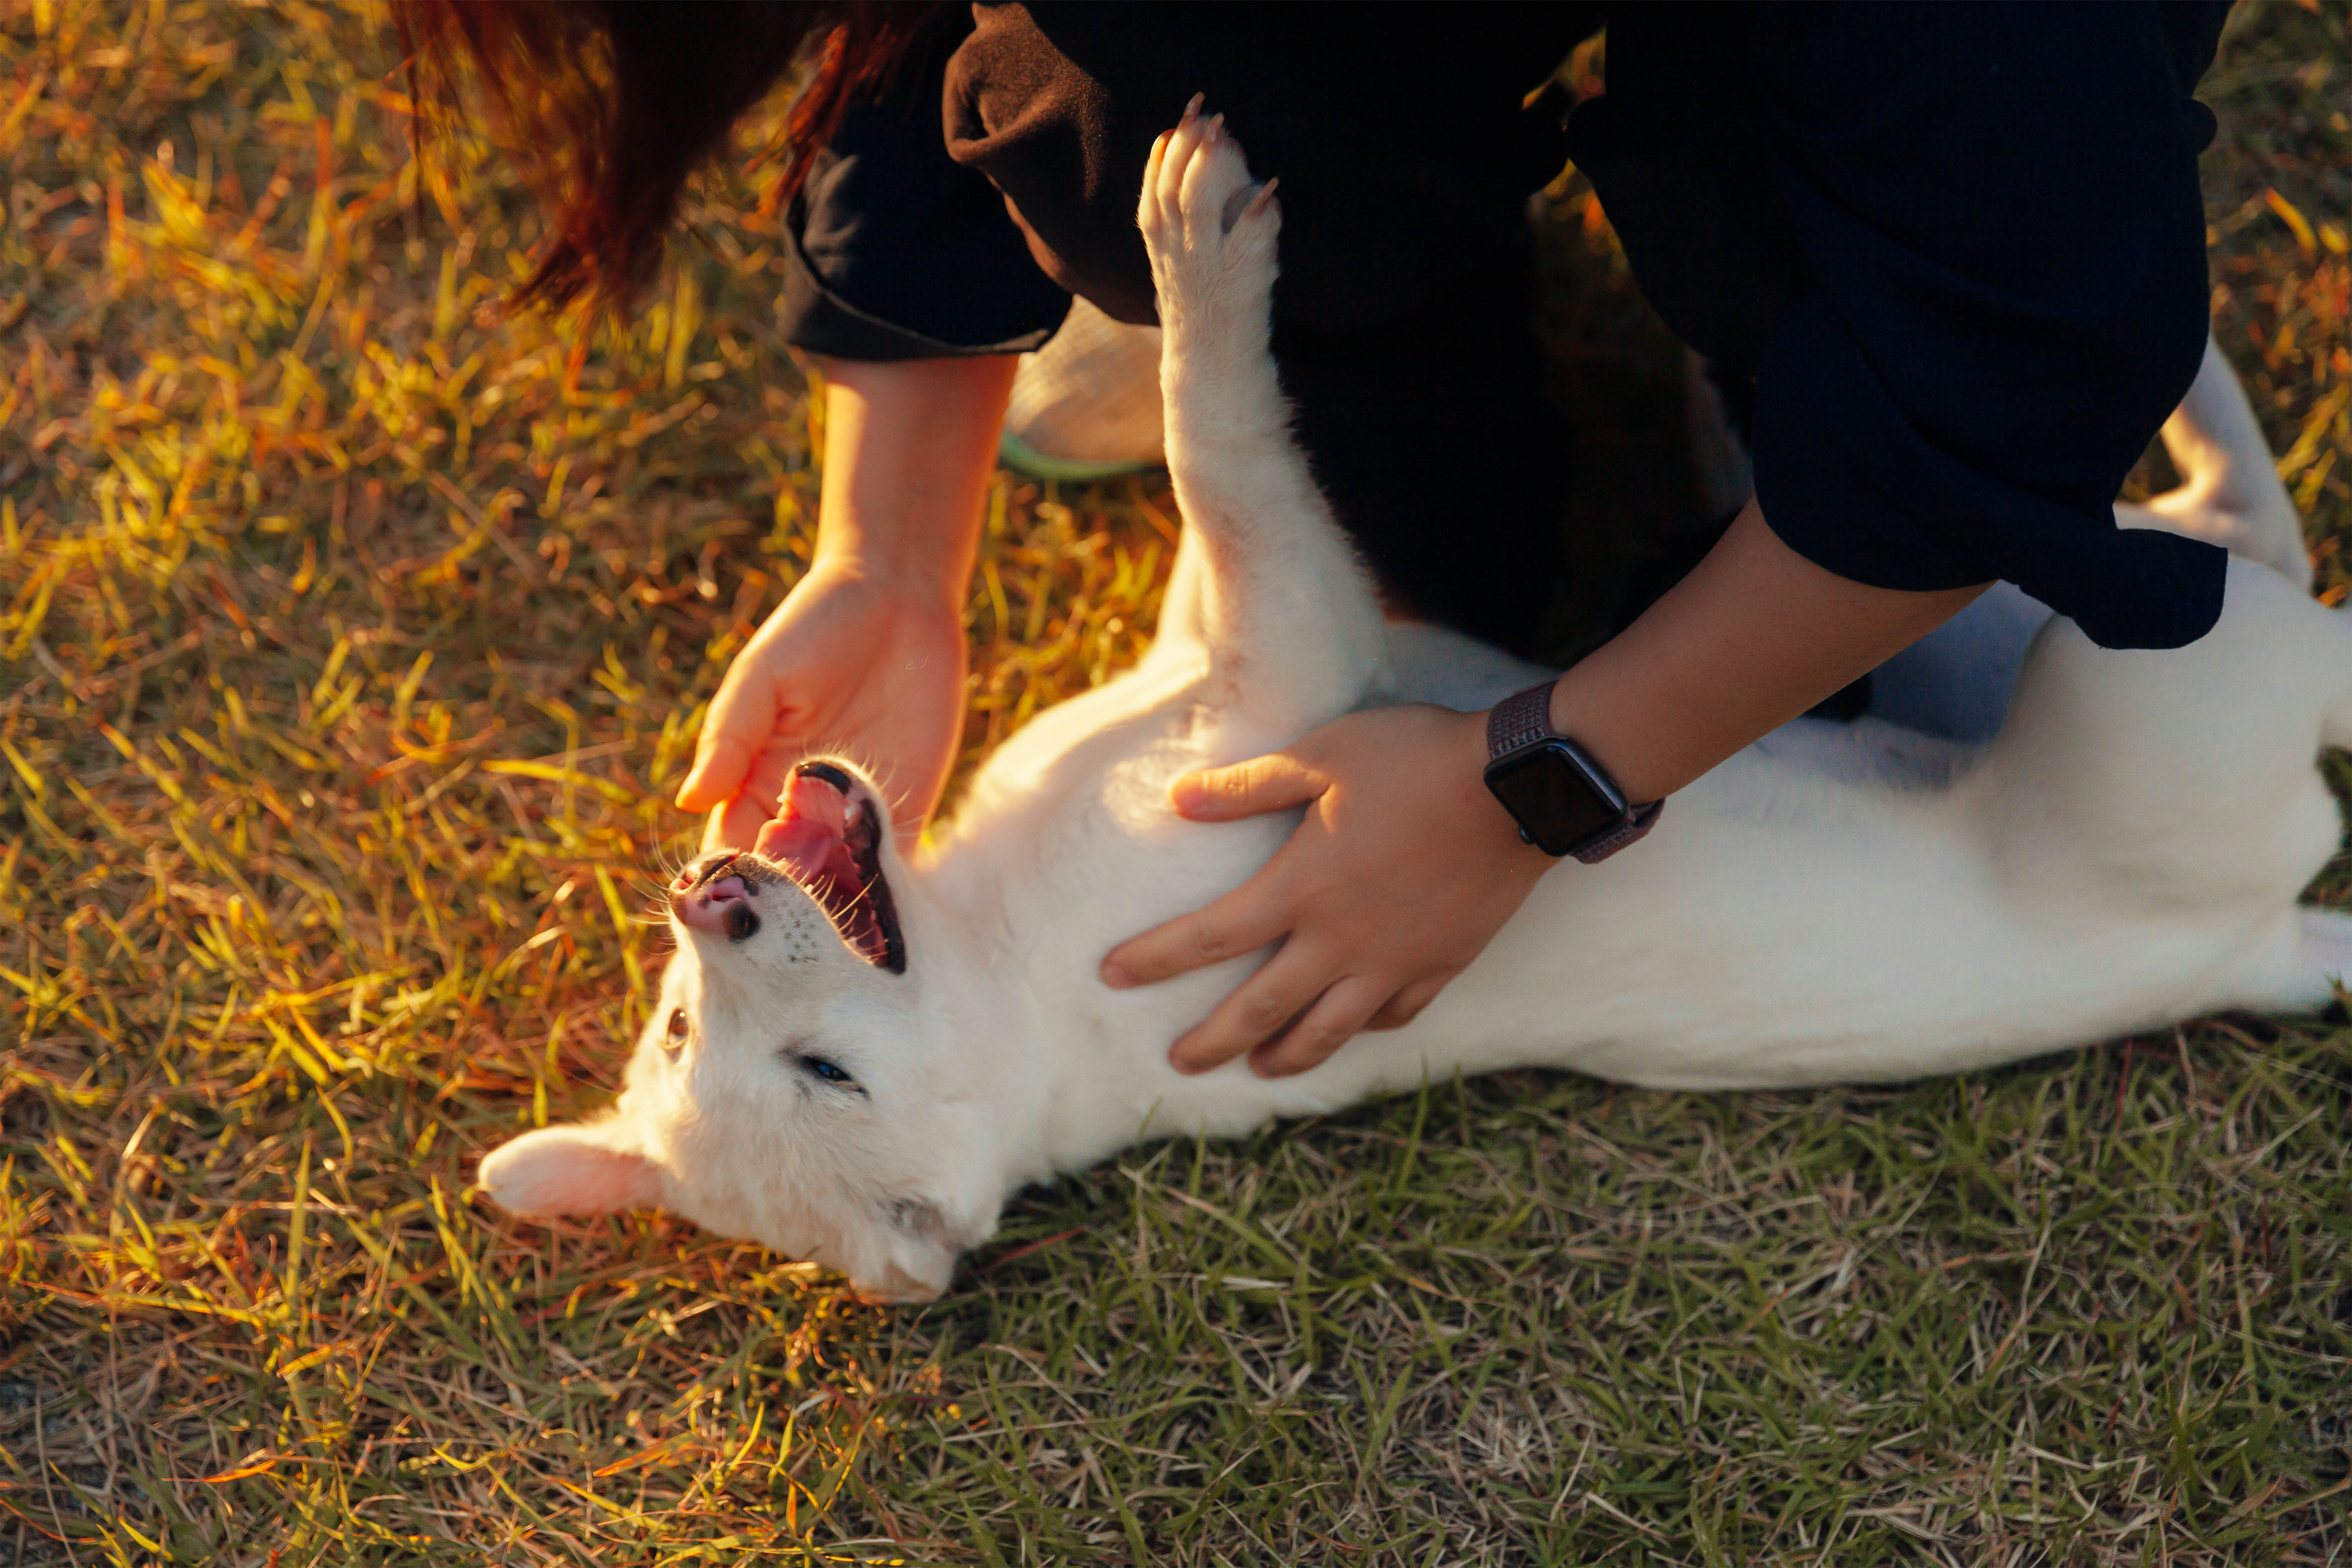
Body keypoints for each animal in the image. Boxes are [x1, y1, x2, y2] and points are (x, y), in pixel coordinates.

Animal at [482, 110, 2352, 1307]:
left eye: (686, 1031)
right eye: (815, 1071)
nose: (712, 900)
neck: (1010, 970)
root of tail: (2251, 954)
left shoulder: (1251, 650)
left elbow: (1224, 489)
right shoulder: (1295, 664)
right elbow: (1232, 453)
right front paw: (1201, 262)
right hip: (2135, 669)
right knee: (2241, 575)